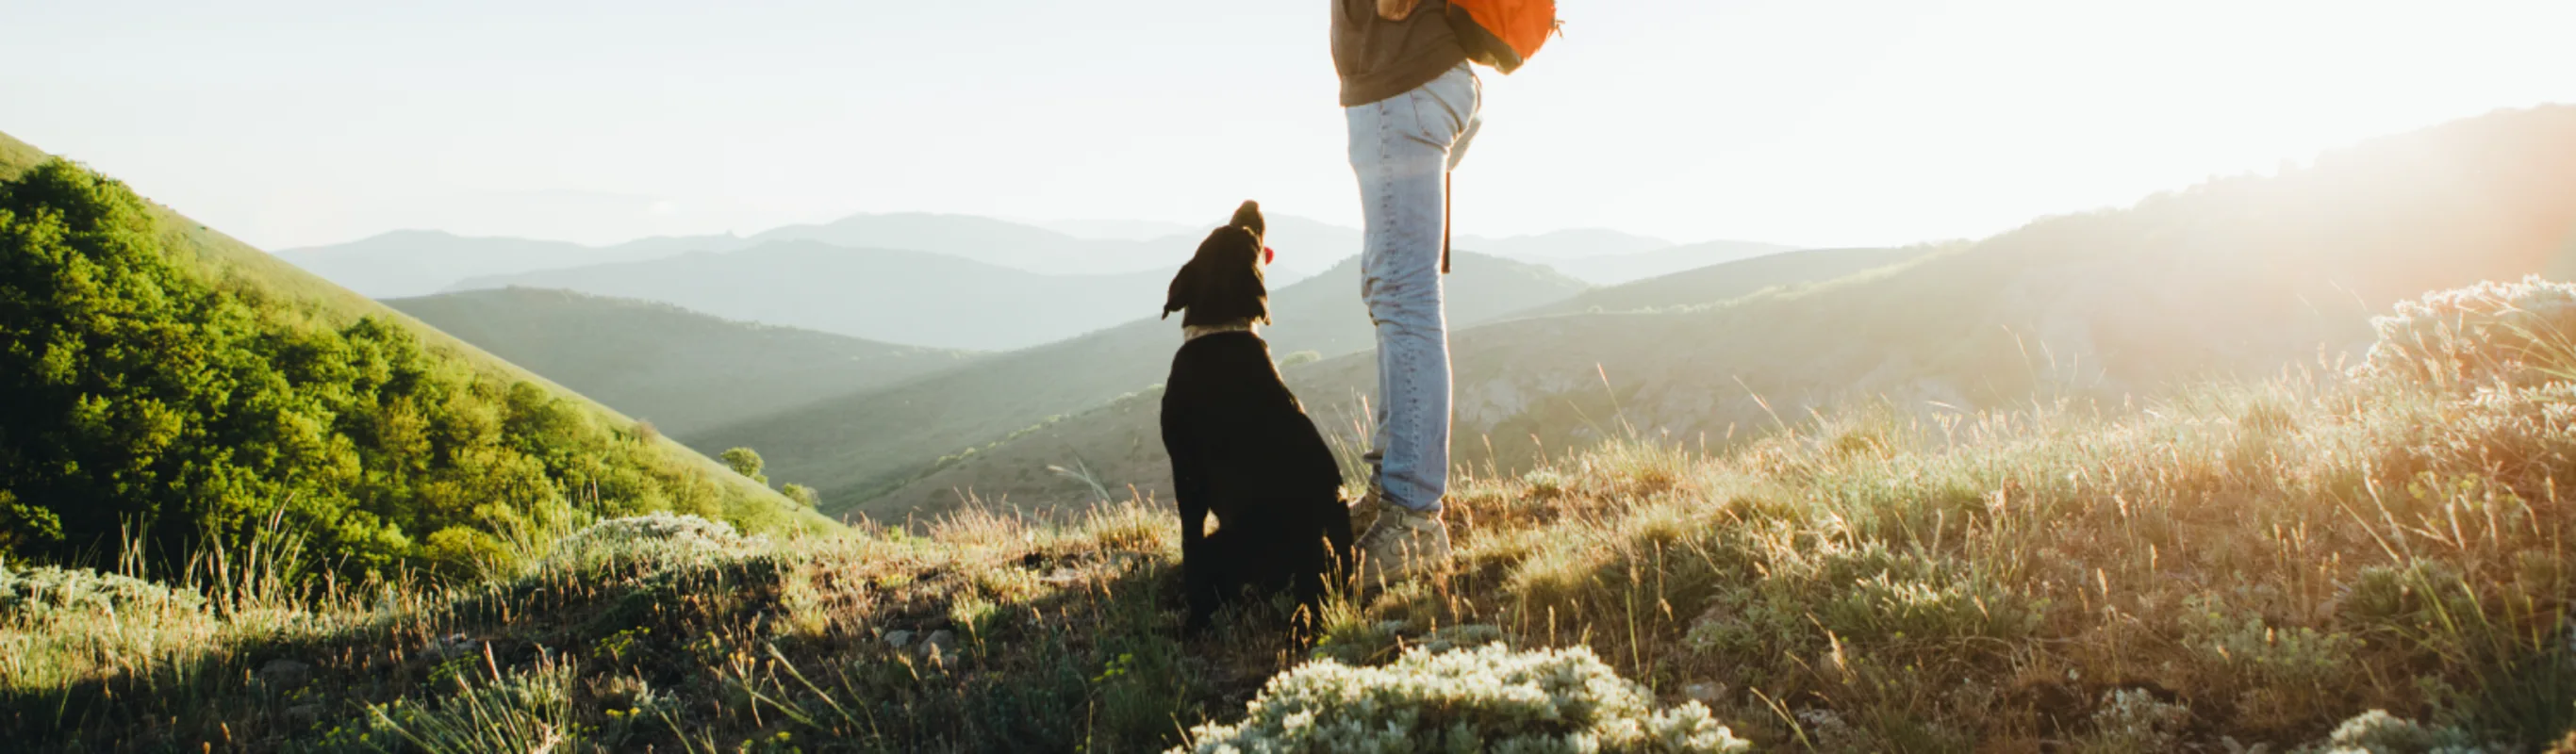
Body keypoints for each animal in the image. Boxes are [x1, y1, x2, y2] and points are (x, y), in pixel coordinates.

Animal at [1164, 198, 1360, 628]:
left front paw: (1194, 609)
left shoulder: (1186, 472)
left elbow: (1189, 542)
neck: (1221, 329)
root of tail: (1310, 548)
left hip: (1226, 541)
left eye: (1247, 233)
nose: (1250, 203)